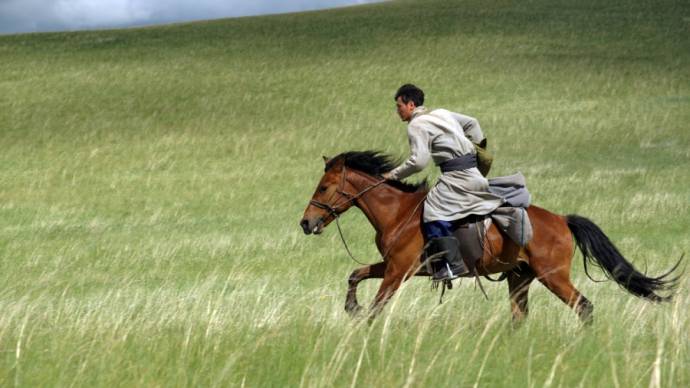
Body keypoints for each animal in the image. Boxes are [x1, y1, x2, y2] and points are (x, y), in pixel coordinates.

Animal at [300, 152, 676, 324]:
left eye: (324, 187)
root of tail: (562, 220)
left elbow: (377, 306)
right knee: (519, 317)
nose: (306, 223)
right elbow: (355, 275)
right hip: (520, 277)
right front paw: (351, 307)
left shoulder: (398, 271)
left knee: (584, 307)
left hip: (552, 276)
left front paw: (361, 323)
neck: (398, 212)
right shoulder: (395, 266)